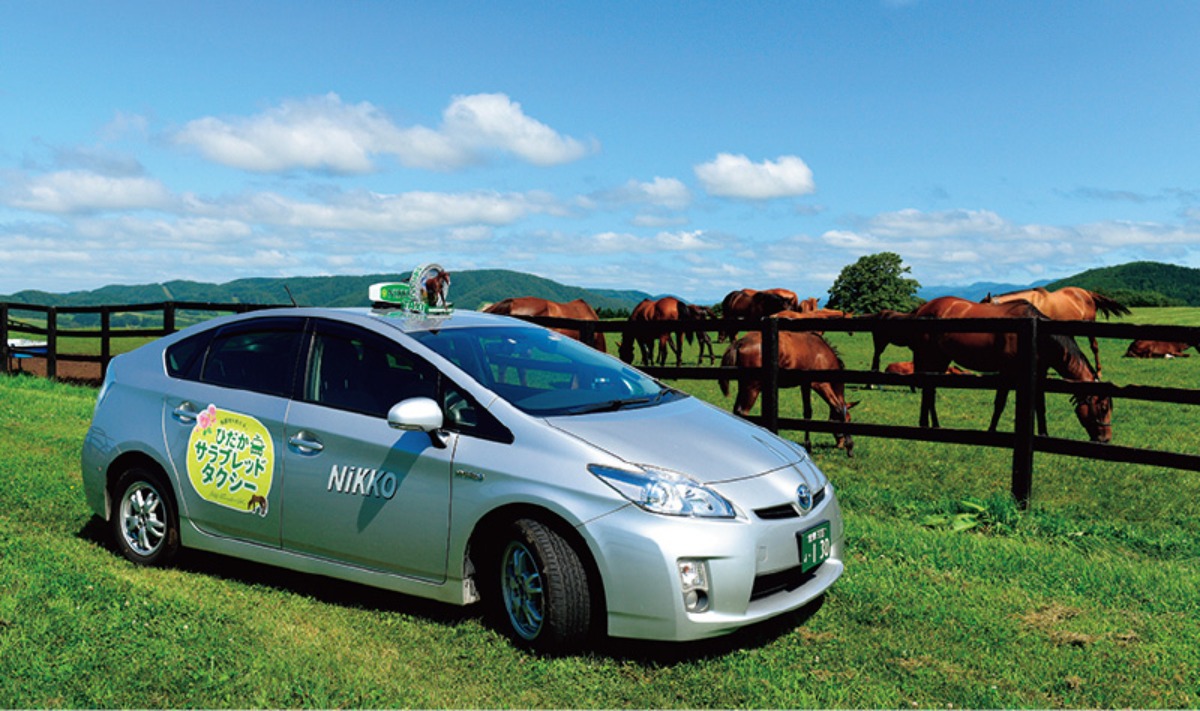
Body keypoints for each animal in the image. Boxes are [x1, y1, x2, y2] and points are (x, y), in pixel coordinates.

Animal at [715, 329, 859, 456]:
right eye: (849, 419)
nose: (840, 444)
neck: (822, 354)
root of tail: (741, 342)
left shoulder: (805, 385)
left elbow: (807, 413)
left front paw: (808, 445)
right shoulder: (820, 384)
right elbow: (838, 407)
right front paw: (850, 446)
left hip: (744, 386)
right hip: (752, 387)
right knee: (742, 412)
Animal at [907, 295, 1113, 441]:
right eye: (1103, 408)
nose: (1106, 439)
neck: (1036, 336)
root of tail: (923, 308)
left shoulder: (1037, 375)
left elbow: (1040, 407)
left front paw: (1044, 434)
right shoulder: (1007, 372)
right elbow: (1000, 404)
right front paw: (991, 431)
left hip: (942, 360)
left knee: (930, 390)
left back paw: (933, 425)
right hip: (932, 358)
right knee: (928, 390)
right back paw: (927, 425)